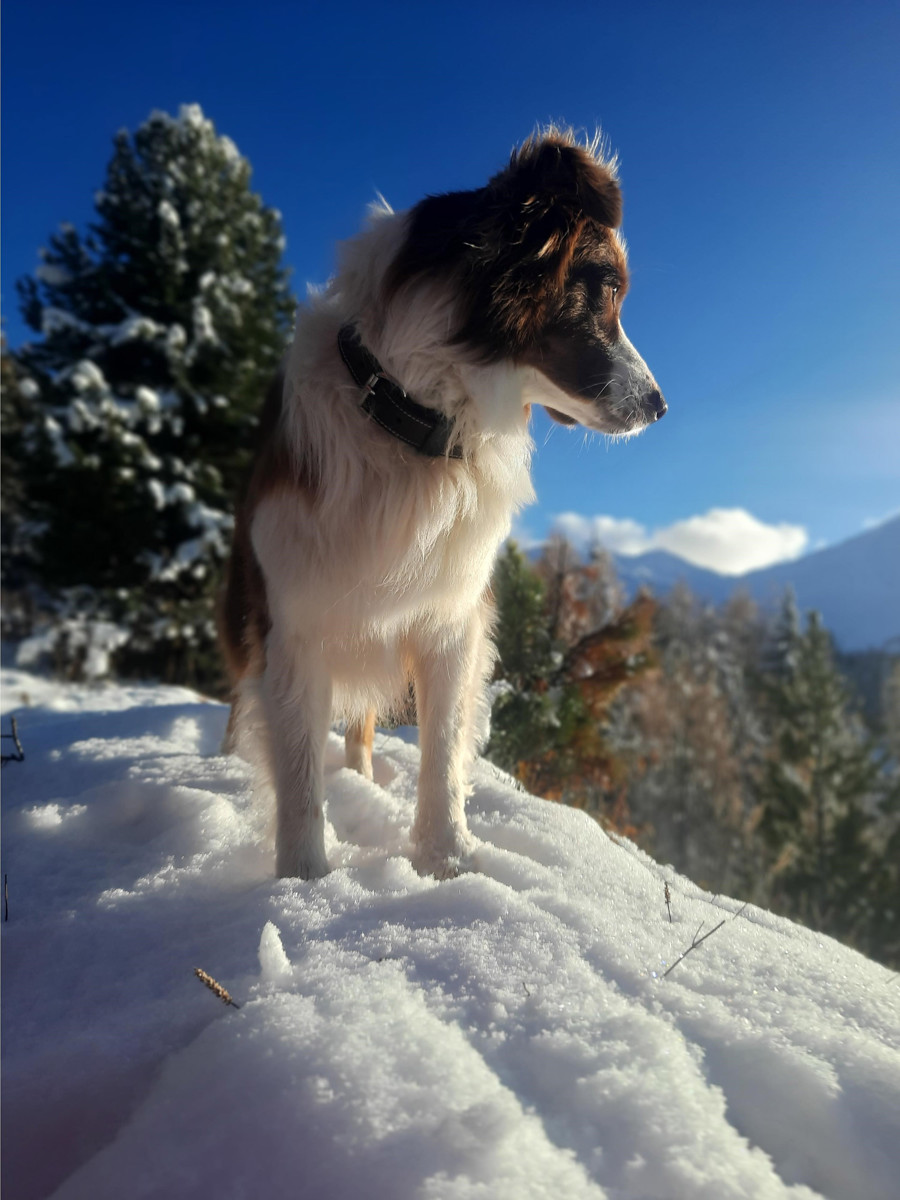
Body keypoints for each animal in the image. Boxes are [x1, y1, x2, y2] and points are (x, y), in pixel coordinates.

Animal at [222, 129, 667, 883]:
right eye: (606, 289)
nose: (659, 406)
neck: (406, 413)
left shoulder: (452, 616)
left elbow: (443, 749)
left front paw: (445, 862)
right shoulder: (291, 623)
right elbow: (300, 775)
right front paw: (305, 884)